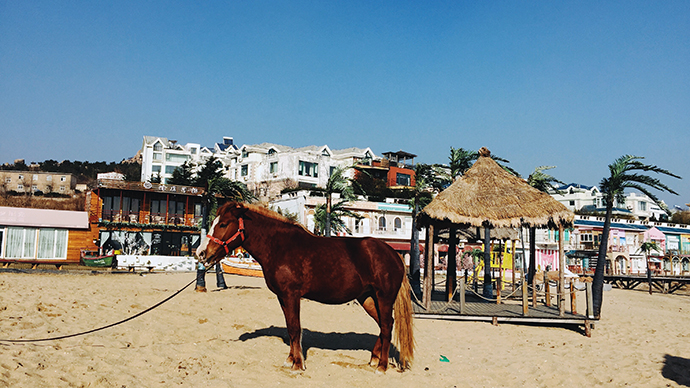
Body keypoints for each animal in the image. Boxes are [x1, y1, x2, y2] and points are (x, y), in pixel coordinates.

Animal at [195, 202, 414, 372]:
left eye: (223, 224)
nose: (201, 253)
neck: (279, 246)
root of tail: (394, 254)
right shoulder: (282, 297)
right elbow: (290, 328)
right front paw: (290, 360)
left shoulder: (291, 295)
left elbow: (295, 328)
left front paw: (298, 364)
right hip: (367, 299)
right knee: (384, 324)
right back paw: (374, 359)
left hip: (384, 297)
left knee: (386, 326)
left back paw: (382, 366)